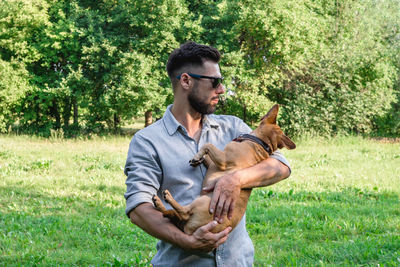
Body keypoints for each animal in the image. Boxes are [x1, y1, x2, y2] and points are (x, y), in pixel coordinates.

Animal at [152, 104, 296, 234]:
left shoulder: (222, 160)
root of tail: (189, 229)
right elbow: (207, 154)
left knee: (184, 212)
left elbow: (207, 145)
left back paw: (168, 198)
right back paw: (159, 204)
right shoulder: (213, 163)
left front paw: (196, 156)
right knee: (172, 214)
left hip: (202, 201)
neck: (259, 142)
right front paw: (199, 159)